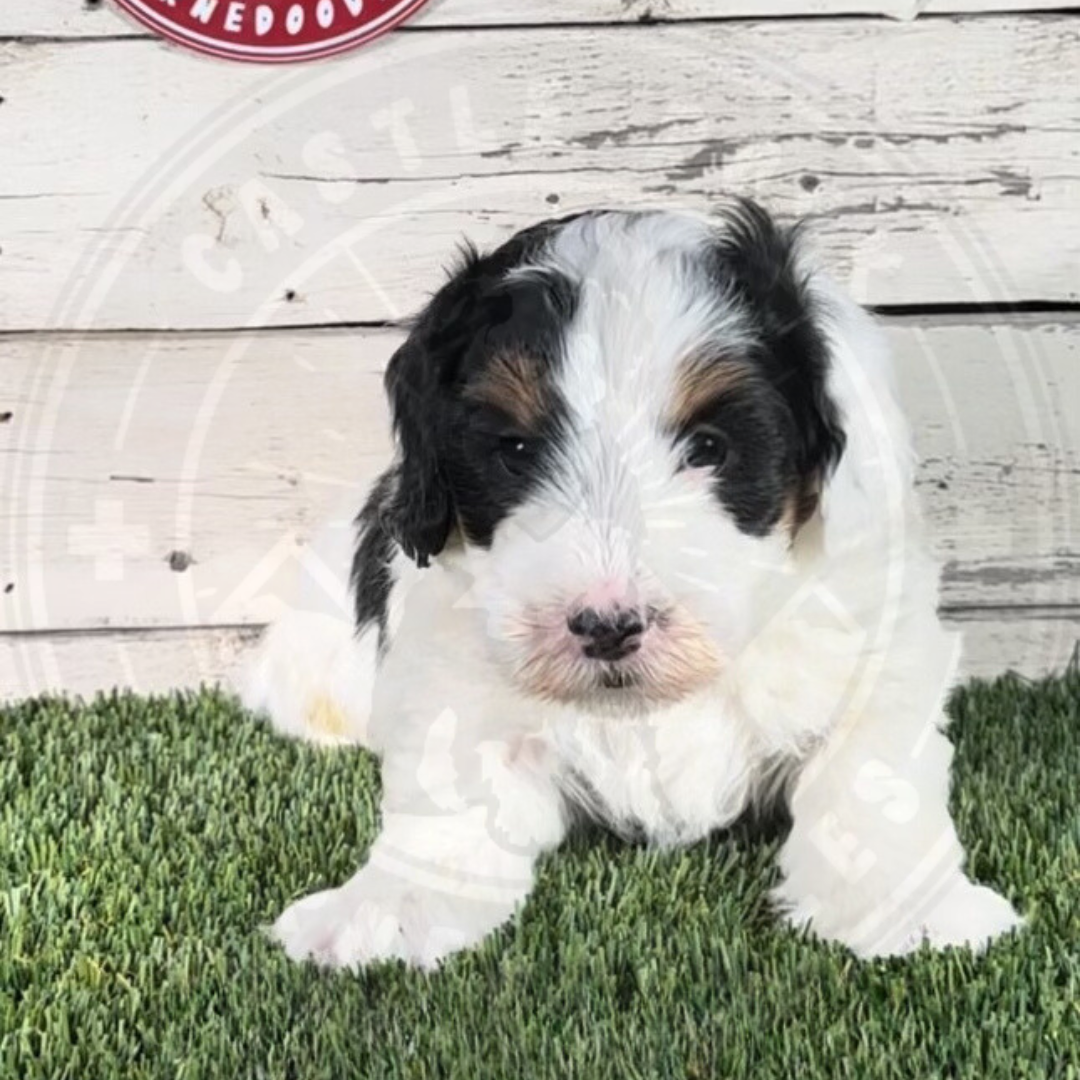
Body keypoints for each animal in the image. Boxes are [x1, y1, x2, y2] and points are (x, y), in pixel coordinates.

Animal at [243, 203, 1019, 972]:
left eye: (709, 447)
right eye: (515, 450)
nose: (607, 626)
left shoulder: (873, 650)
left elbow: (870, 778)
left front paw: (910, 909)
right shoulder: (454, 677)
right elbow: (450, 798)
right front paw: (391, 906)